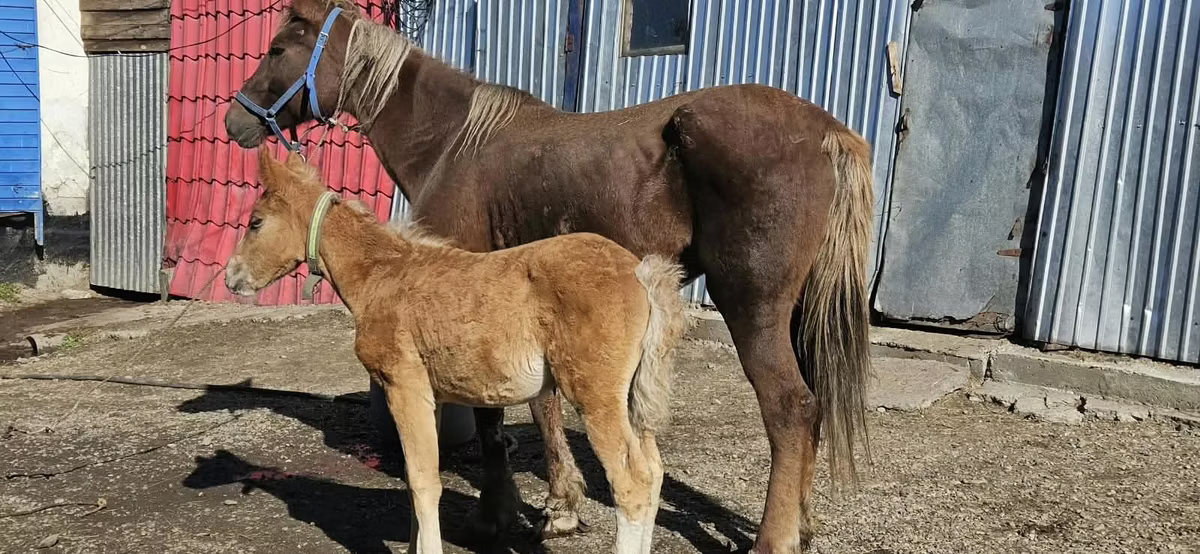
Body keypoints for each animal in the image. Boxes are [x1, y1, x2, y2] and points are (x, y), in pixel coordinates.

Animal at [224, 146, 687, 554]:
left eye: (255, 223)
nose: (231, 277)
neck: (380, 275)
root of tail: (641, 271)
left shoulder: (402, 385)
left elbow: (423, 481)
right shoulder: (430, 395)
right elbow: (417, 477)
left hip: (596, 394)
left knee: (632, 482)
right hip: (630, 396)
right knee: (654, 471)